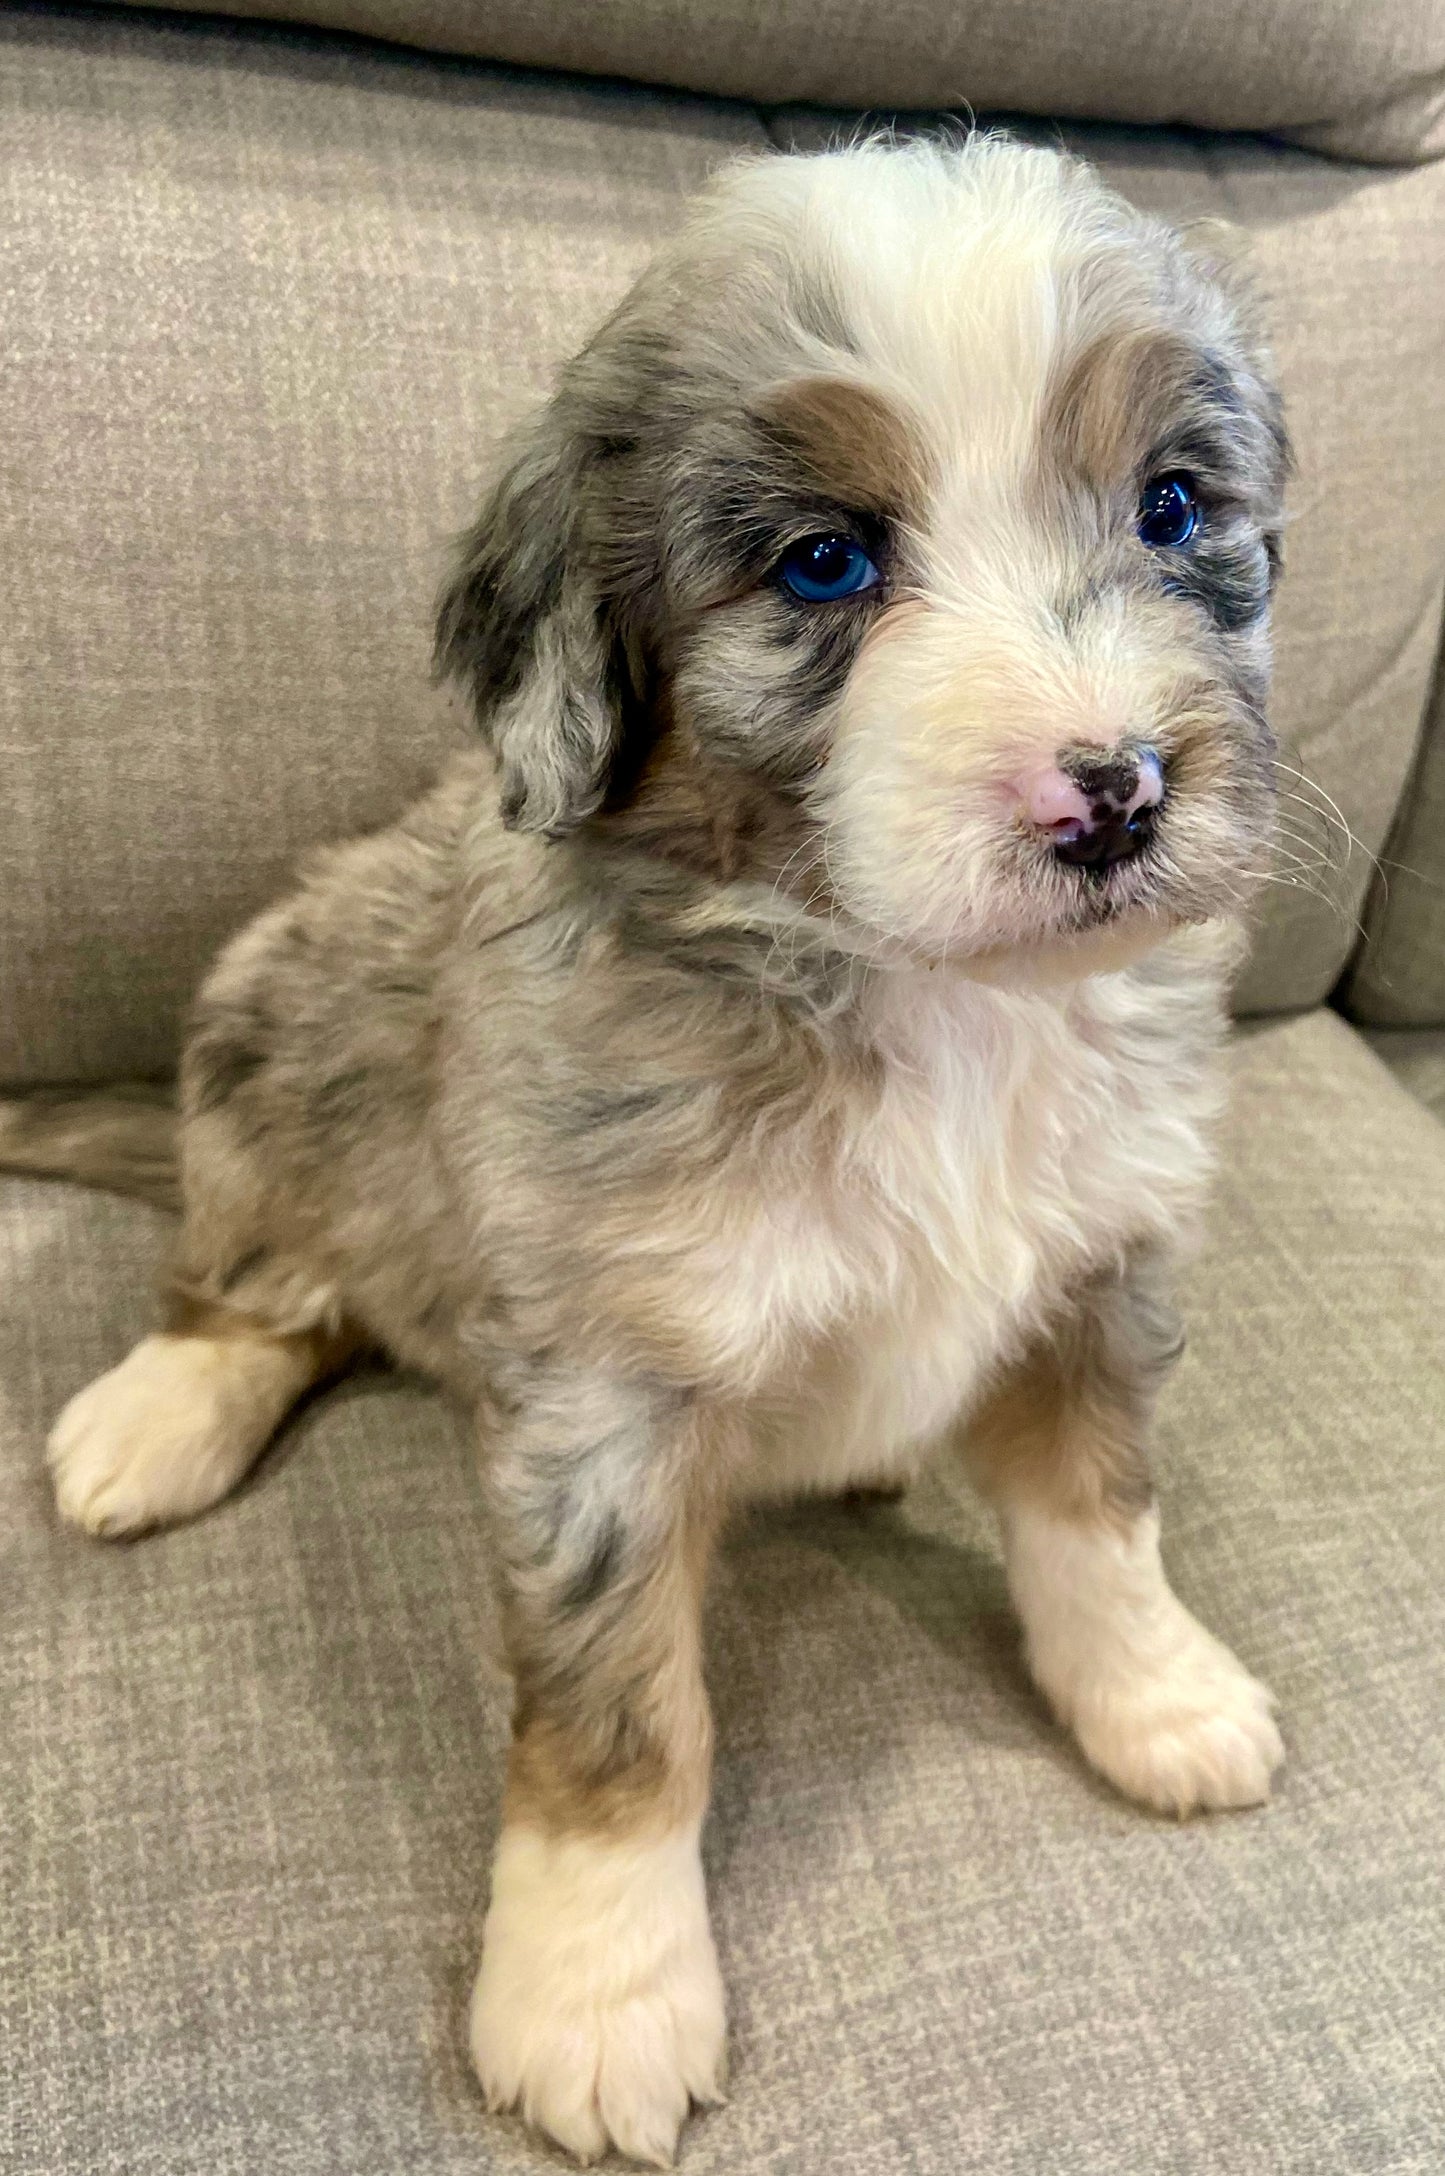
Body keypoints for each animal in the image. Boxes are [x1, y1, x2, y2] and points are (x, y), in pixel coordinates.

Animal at [8, 144, 1288, 2167]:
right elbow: (617, 1711)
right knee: (258, 1278)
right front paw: (595, 1990)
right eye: (825, 560)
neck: (928, 1006)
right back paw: (160, 1410)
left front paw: (1153, 1698)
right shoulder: (600, 1396)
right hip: (274, 1015)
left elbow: (1100, 1515)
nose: (1116, 792)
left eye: (1173, 508)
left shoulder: (1105, 1263)